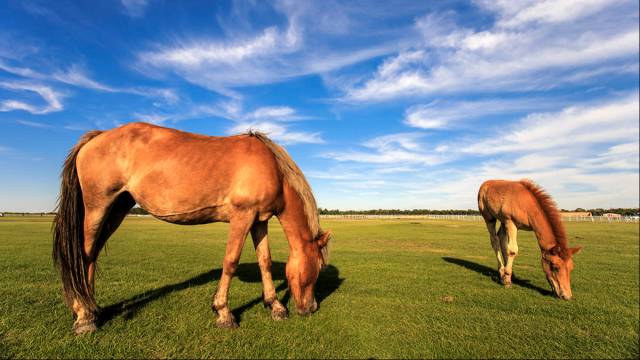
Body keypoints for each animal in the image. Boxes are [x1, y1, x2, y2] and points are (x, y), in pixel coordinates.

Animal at [53, 121, 332, 334]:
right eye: (318, 268)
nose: (311, 308)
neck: (271, 166)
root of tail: (97, 137)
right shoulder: (242, 217)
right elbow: (230, 262)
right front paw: (223, 313)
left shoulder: (259, 221)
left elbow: (265, 261)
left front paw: (275, 307)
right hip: (98, 207)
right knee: (85, 254)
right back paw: (84, 317)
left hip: (118, 208)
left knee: (92, 255)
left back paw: (91, 308)